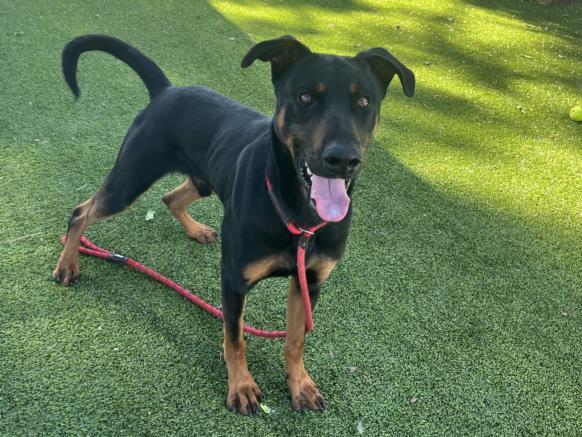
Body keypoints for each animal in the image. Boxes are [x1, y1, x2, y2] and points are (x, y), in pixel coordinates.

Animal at [51, 34, 416, 412]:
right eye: (305, 97)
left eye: (363, 101)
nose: (343, 159)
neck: (299, 214)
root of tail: (167, 90)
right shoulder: (234, 280)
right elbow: (235, 337)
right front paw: (241, 386)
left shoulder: (310, 281)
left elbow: (295, 340)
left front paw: (299, 384)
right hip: (130, 179)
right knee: (81, 212)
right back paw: (67, 265)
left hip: (202, 180)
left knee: (170, 198)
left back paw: (196, 230)